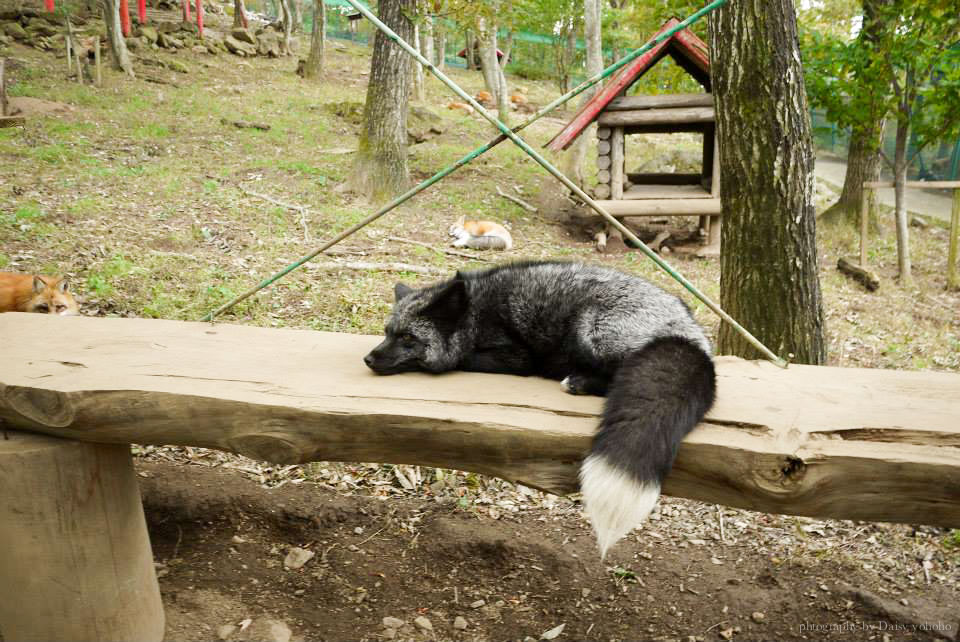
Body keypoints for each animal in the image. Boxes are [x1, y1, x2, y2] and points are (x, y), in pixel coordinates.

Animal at [364, 260, 716, 556]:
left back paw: (575, 379)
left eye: (408, 337)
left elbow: (462, 359)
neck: (474, 315)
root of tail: (692, 338)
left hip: (589, 327)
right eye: (387, 332)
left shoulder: (515, 357)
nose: (368, 358)